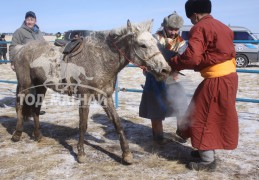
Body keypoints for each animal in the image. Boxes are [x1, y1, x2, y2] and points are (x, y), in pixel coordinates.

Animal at [10, 20, 172, 165]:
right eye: (142, 45)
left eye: (156, 43)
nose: (165, 69)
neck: (100, 59)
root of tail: (20, 49)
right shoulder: (85, 97)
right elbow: (83, 125)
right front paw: (81, 153)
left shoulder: (106, 97)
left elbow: (117, 123)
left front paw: (126, 154)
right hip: (25, 85)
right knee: (19, 106)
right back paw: (17, 134)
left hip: (41, 87)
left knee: (36, 109)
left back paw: (38, 135)